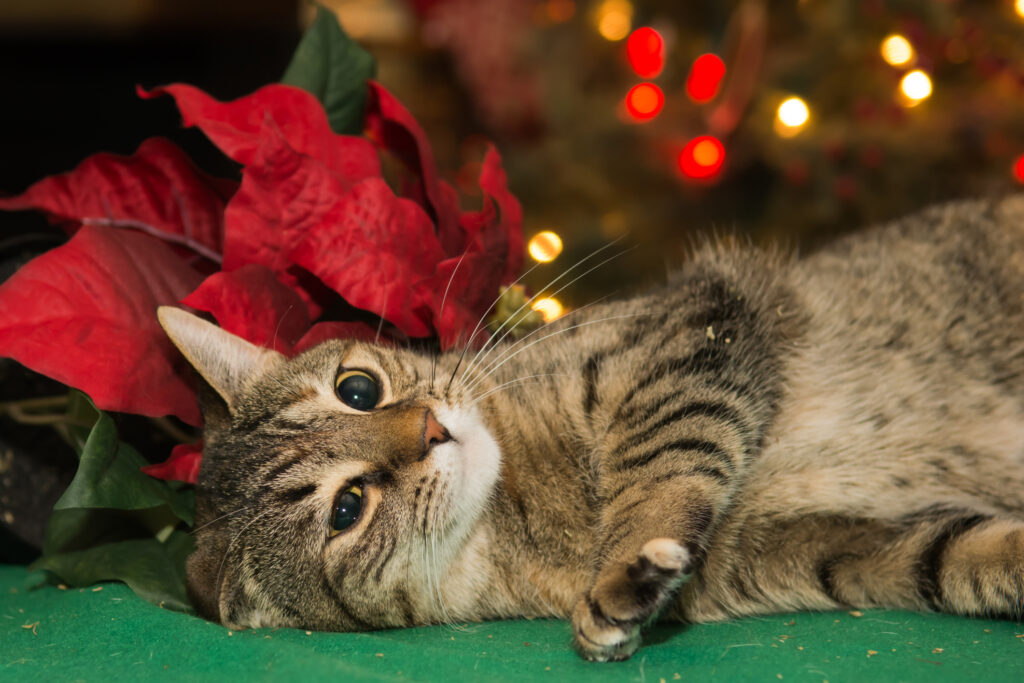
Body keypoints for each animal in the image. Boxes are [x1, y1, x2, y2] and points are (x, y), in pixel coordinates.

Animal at [153, 196, 1024, 663]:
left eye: (358, 388)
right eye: (346, 508)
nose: (430, 426)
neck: (523, 508)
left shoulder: (689, 326)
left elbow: (663, 456)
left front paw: (626, 554)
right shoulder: (812, 548)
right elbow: (950, 557)